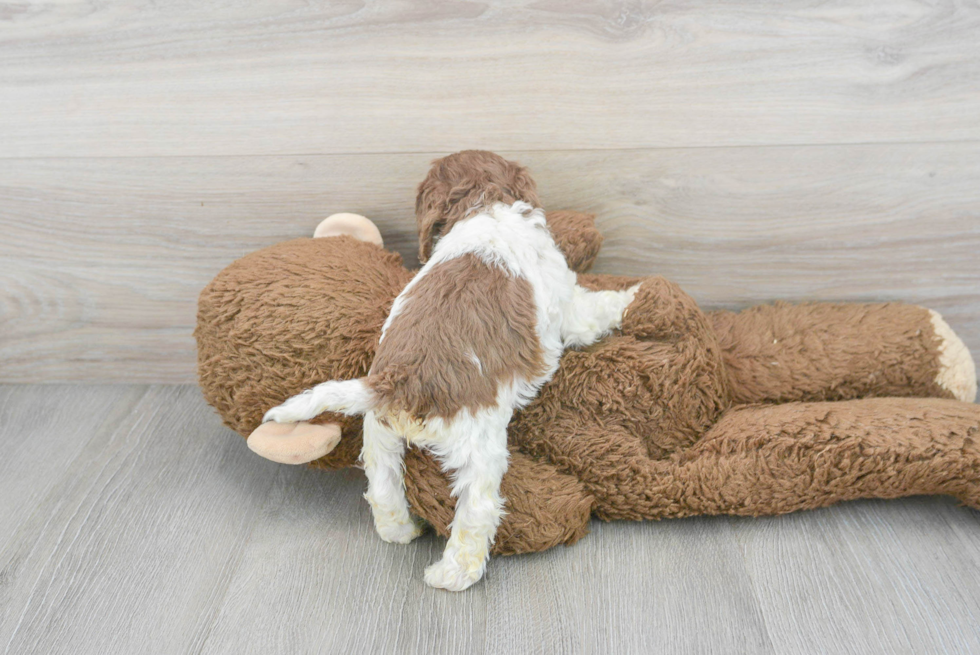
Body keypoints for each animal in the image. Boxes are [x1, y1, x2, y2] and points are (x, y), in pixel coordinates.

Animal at [264, 151, 640, 592]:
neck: (482, 206)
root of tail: (396, 381)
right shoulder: (566, 304)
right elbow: (595, 309)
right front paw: (635, 296)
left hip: (379, 435)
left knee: (383, 487)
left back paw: (401, 530)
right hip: (479, 446)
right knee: (477, 510)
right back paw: (453, 574)